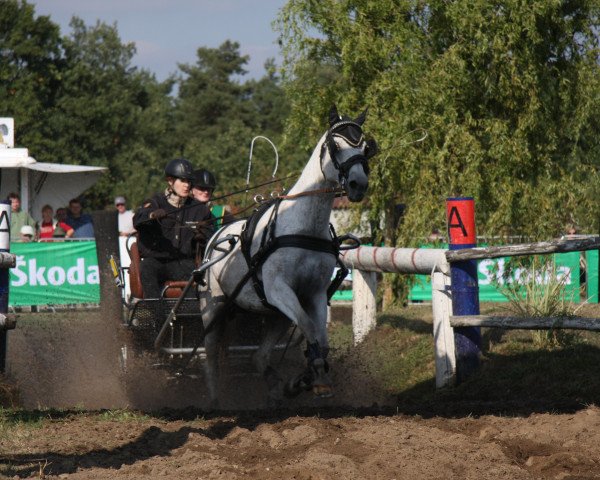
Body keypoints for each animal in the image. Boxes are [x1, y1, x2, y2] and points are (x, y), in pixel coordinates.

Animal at [199, 105, 378, 404]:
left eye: (366, 147)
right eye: (335, 145)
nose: (357, 184)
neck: (303, 227)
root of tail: (216, 234)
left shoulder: (314, 293)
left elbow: (321, 338)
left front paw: (307, 378)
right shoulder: (279, 289)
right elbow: (308, 326)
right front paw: (314, 374)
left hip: (274, 315)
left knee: (259, 357)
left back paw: (276, 389)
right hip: (214, 306)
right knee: (210, 351)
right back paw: (214, 399)